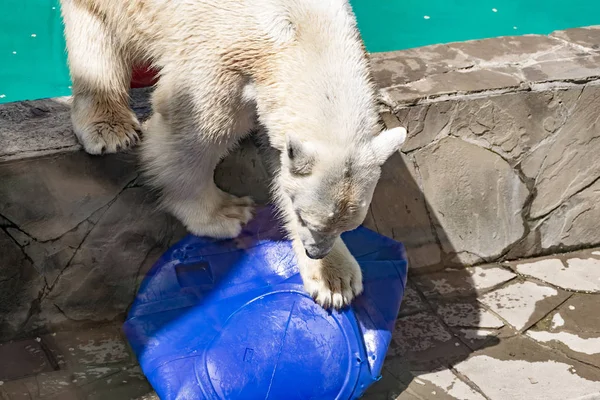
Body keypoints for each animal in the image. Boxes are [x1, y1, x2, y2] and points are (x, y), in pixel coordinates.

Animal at [59, 0, 408, 310]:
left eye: (348, 227)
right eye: (304, 217)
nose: (315, 252)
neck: (304, 33)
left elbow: (278, 160)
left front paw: (335, 282)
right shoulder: (224, 54)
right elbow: (199, 129)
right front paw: (225, 214)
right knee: (96, 30)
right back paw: (109, 127)